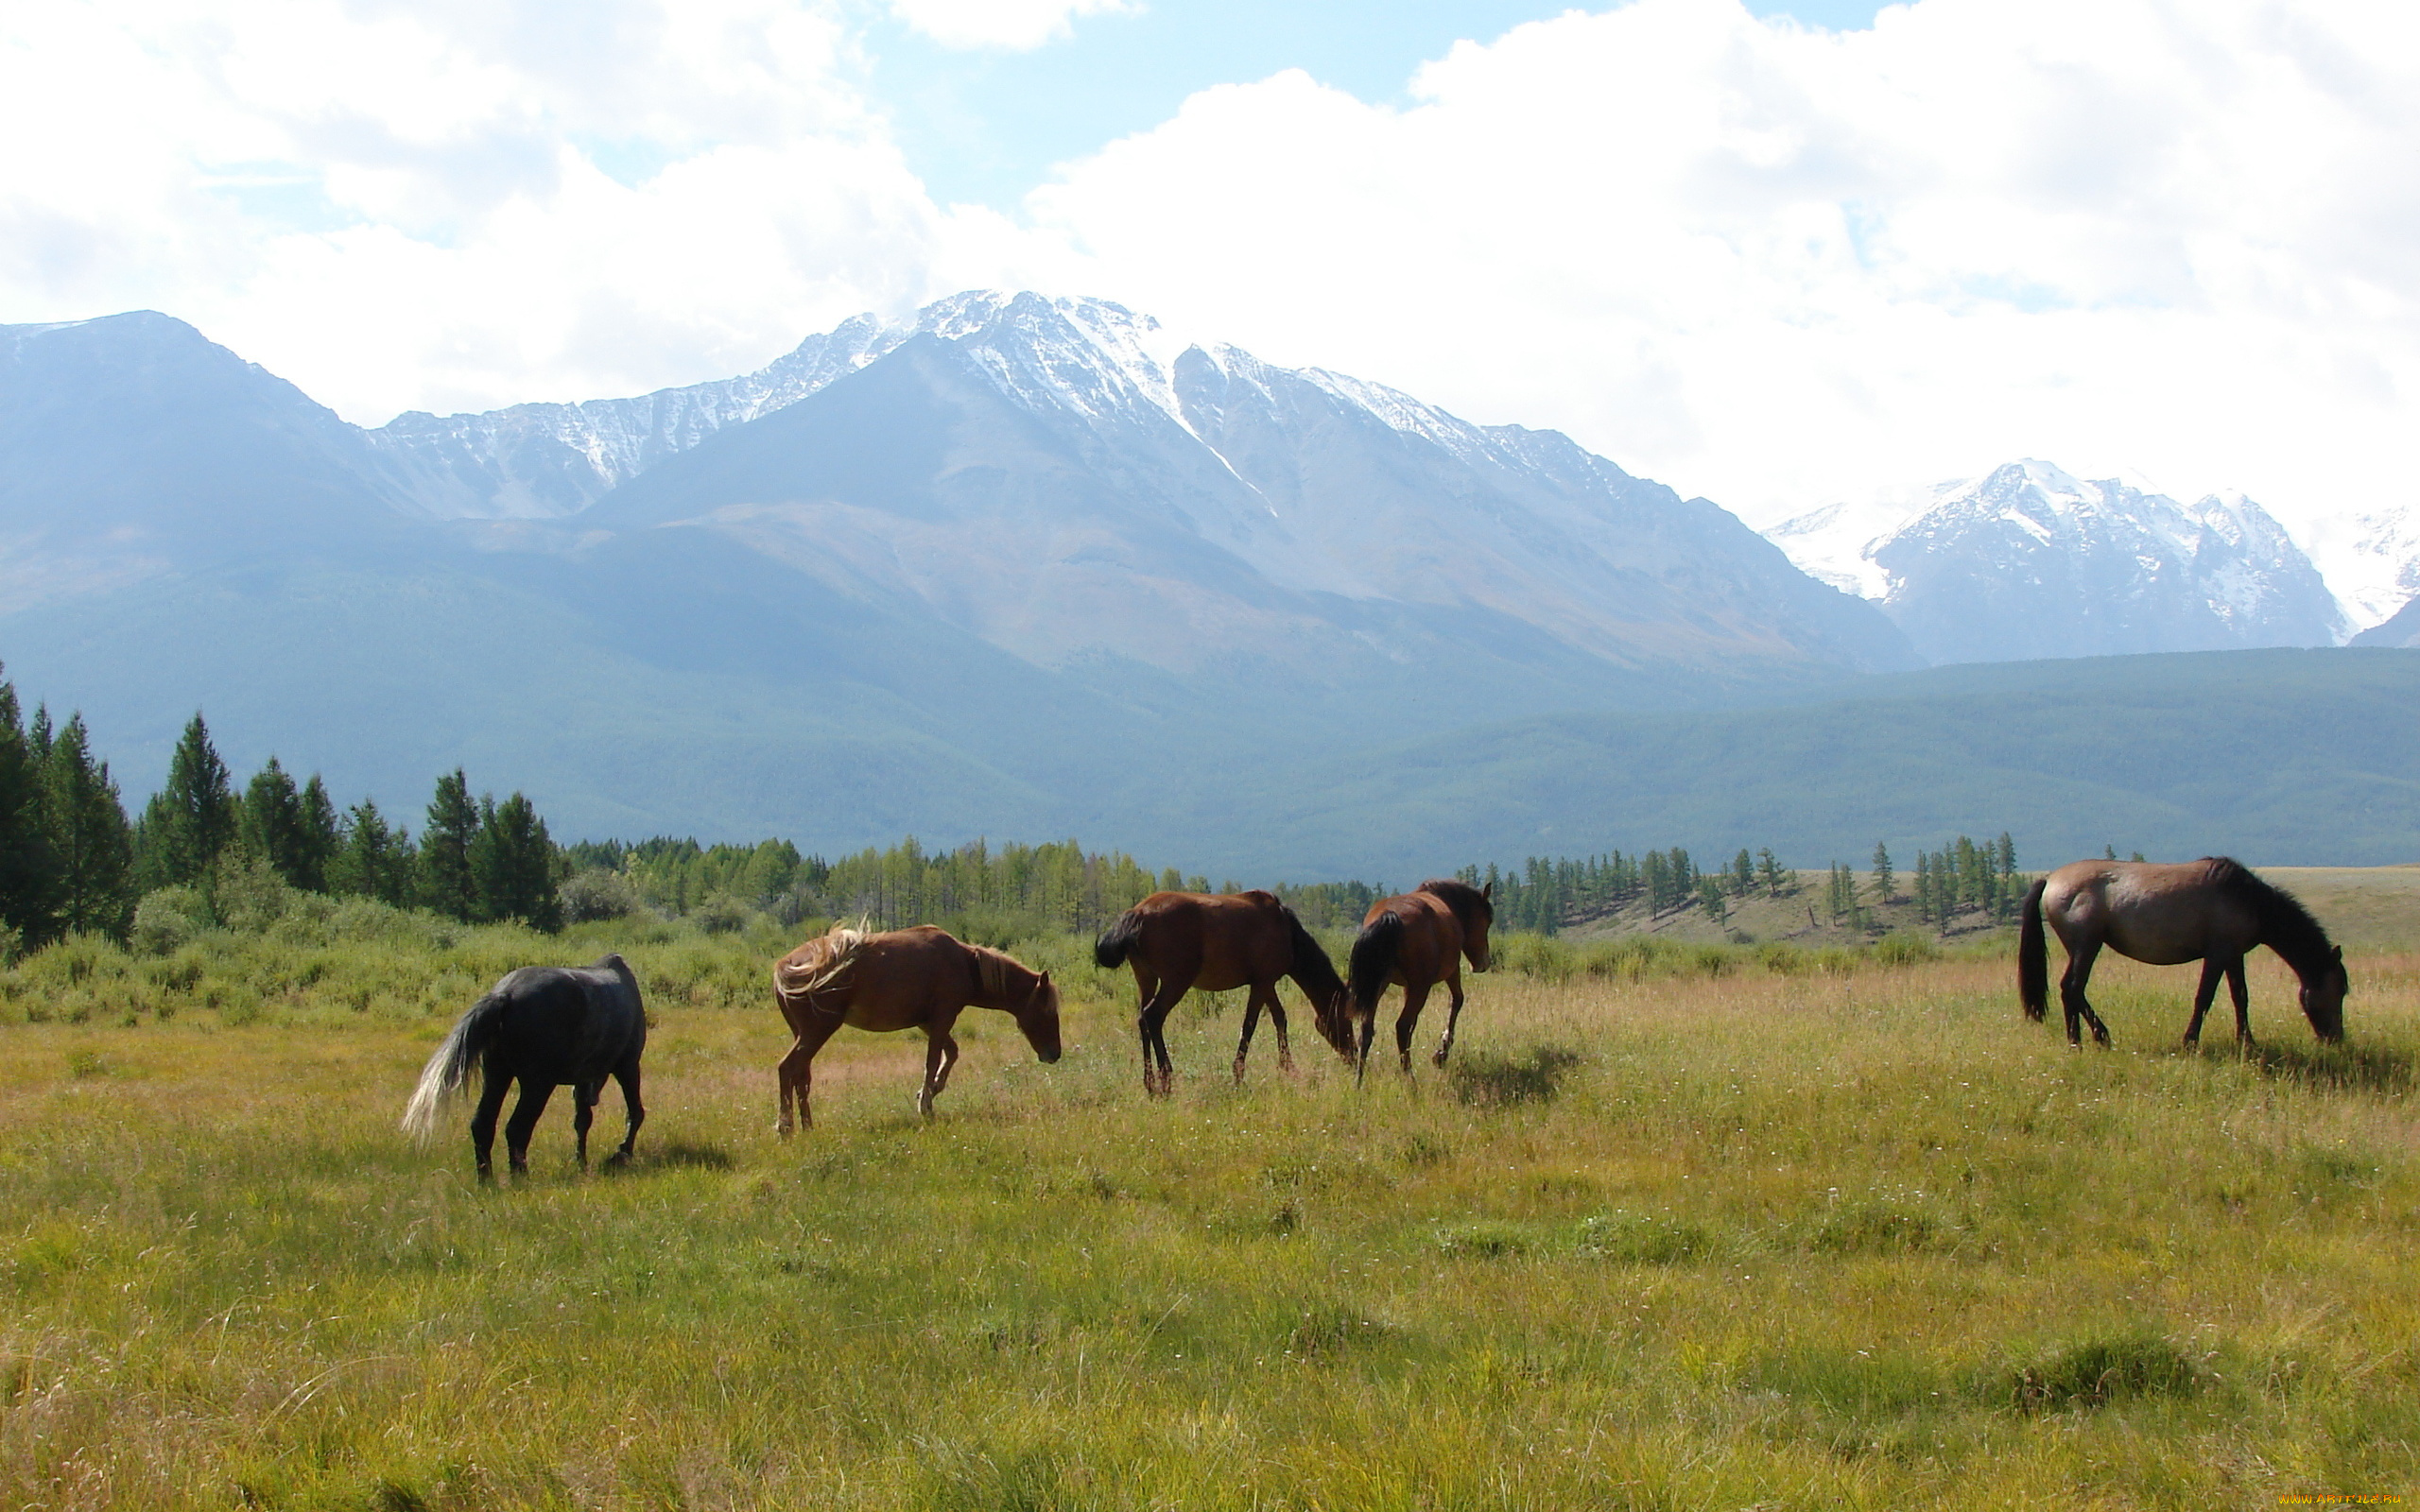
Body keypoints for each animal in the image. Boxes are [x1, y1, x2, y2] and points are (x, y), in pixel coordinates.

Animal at [406, 948, 653, 1176]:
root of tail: (505, 994)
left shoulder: (583, 1078)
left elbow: (583, 1120)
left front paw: (582, 1162)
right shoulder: (628, 1065)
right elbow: (635, 1112)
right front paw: (621, 1153)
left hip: (497, 1076)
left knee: (482, 1124)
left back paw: (487, 1181)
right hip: (538, 1084)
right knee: (517, 1128)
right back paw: (520, 1177)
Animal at [764, 919, 1050, 1132]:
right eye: (1046, 1010)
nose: (1053, 1053)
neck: (964, 963)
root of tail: (784, 967)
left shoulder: (928, 1022)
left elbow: (951, 1053)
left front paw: (930, 1091)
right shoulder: (942, 1018)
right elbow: (933, 1061)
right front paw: (926, 1106)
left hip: (803, 1033)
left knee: (801, 1075)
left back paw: (808, 1126)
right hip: (817, 1031)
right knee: (788, 1068)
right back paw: (786, 1126)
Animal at [1098, 885, 1364, 1098]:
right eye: (1345, 1021)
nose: (1353, 1055)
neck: (1290, 936)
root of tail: (1137, 915)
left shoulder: (1266, 982)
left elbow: (1280, 1018)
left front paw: (1288, 1067)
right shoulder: (1262, 981)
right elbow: (1250, 1025)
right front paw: (1238, 1075)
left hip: (1146, 977)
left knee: (1142, 1019)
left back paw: (1150, 1084)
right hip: (1176, 980)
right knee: (1153, 1016)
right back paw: (1166, 1081)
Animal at [1345, 870, 1490, 1074]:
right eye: (1487, 922)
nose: (1483, 963)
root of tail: (1390, 917)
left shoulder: (1407, 986)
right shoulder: (1451, 971)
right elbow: (1457, 1001)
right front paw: (1441, 1053)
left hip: (1378, 986)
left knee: (1367, 1029)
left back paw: (1359, 1077)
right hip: (1420, 987)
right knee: (1402, 1026)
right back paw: (1409, 1076)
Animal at [2013, 856, 2352, 1044]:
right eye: (2339, 991)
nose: (2336, 1038)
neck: (2249, 900)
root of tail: (2050, 880)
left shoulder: (2234, 955)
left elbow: (2240, 998)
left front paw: (2248, 1043)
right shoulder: (2217, 955)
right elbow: (2204, 998)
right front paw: (2190, 1041)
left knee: (2072, 991)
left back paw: (2089, 1038)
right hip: (2086, 946)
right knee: (2071, 988)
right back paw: (2088, 1039)